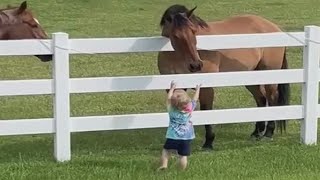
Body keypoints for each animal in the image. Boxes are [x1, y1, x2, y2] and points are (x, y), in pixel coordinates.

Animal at [158, 4, 290, 150]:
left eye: (193, 31)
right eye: (175, 35)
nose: (196, 65)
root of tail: (274, 27)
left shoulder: (206, 88)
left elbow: (206, 110)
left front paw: (208, 143)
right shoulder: (174, 88)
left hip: (270, 76)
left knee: (272, 99)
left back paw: (268, 133)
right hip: (250, 77)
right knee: (261, 99)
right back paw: (256, 132)